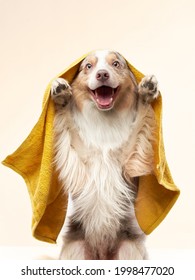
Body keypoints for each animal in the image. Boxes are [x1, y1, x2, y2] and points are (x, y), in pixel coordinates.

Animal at [50, 49, 158, 260]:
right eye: (88, 66)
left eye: (115, 64)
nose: (102, 74)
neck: (104, 118)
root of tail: (101, 255)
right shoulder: (79, 156)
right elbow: (67, 119)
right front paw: (61, 93)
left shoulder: (128, 158)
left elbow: (140, 120)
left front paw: (147, 91)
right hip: (75, 249)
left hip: (127, 248)